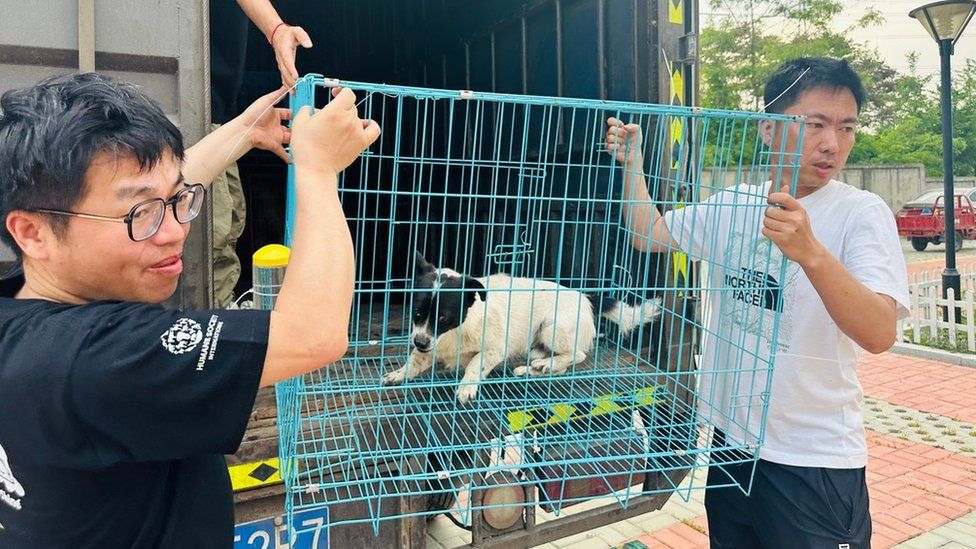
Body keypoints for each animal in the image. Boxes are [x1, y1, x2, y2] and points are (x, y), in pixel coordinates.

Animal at [382, 253, 664, 402]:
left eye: (443, 317)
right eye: (417, 312)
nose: (420, 342)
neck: (455, 332)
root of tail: (585, 297)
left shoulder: (494, 349)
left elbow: (474, 364)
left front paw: (466, 387)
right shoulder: (426, 341)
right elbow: (414, 362)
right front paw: (398, 373)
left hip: (552, 328)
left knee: (578, 354)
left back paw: (546, 364)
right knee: (560, 365)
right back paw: (538, 366)